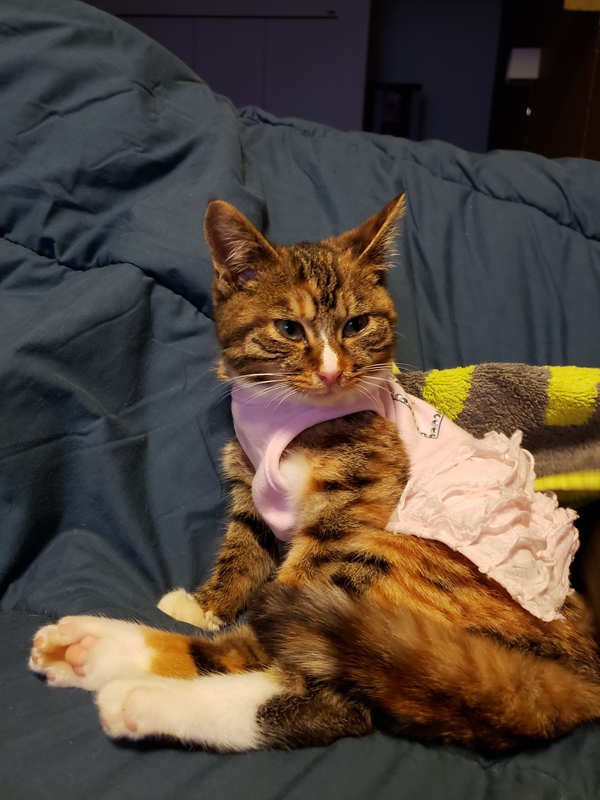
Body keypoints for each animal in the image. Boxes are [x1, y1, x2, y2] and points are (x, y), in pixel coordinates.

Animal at [29, 195, 600, 753]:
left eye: (357, 324)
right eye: (288, 328)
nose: (331, 371)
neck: (286, 414)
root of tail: (580, 670)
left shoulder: (359, 486)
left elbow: (295, 583)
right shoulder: (248, 482)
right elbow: (244, 544)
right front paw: (207, 604)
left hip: (403, 555)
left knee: (321, 686)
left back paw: (131, 687)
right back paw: (92, 651)